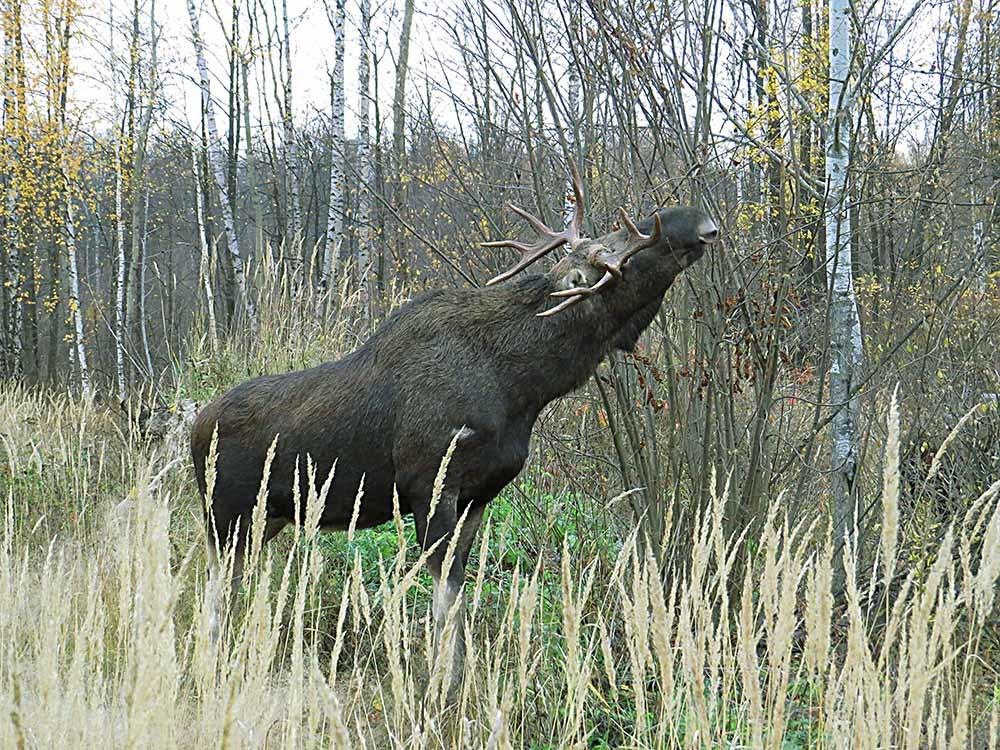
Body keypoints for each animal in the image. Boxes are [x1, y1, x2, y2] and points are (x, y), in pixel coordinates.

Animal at [189, 167, 720, 684]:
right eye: (619, 254)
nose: (702, 222)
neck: (523, 387)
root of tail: (194, 428)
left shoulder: (477, 495)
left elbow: (458, 602)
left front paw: (457, 684)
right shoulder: (428, 486)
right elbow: (444, 605)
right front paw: (439, 690)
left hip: (265, 521)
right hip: (224, 519)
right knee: (212, 602)